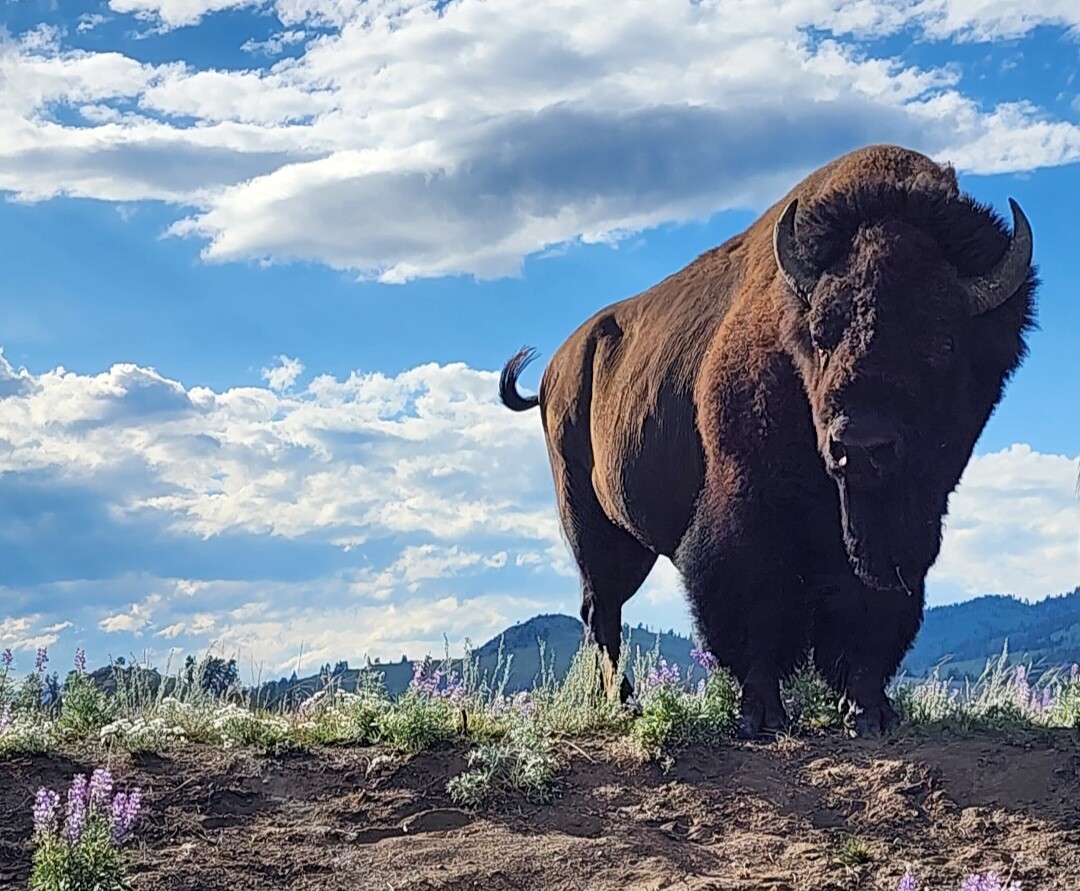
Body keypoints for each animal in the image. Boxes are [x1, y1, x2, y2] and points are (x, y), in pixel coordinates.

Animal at [499, 144, 1035, 738]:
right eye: (822, 333)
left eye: (942, 341)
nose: (859, 444)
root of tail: (558, 367)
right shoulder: (748, 507)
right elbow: (754, 598)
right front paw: (761, 714)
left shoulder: (904, 516)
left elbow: (872, 604)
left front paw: (868, 711)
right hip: (586, 520)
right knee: (602, 610)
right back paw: (623, 701)